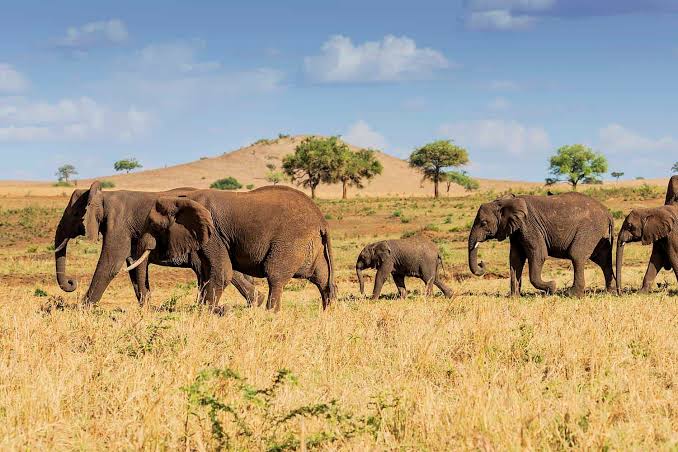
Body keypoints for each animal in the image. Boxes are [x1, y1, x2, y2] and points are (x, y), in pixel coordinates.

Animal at [54, 181, 262, 307]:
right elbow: (133, 265)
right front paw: (145, 307)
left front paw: (83, 309)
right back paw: (255, 302)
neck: (105, 195)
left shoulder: (118, 223)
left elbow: (111, 263)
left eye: (75, 214)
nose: (72, 282)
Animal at [124, 185, 336, 312]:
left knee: (275, 277)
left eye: (154, 226)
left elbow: (221, 273)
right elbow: (206, 272)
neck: (184, 199)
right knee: (322, 277)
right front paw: (204, 309)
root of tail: (322, 220)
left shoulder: (214, 234)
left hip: (291, 241)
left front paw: (206, 313)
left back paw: (271, 314)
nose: (147, 309)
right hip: (310, 245)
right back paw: (329, 312)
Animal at [468, 192, 616, 297]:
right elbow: (516, 259)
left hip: (590, 229)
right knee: (604, 261)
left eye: (483, 223)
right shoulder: (516, 230)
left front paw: (552, 287)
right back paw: (610, 292)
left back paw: (571, 294)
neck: (507, 202)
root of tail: (609, 214)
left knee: (577, 255)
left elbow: (539, 255)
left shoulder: (529, 226)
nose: (481, 262)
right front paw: (514, 297)